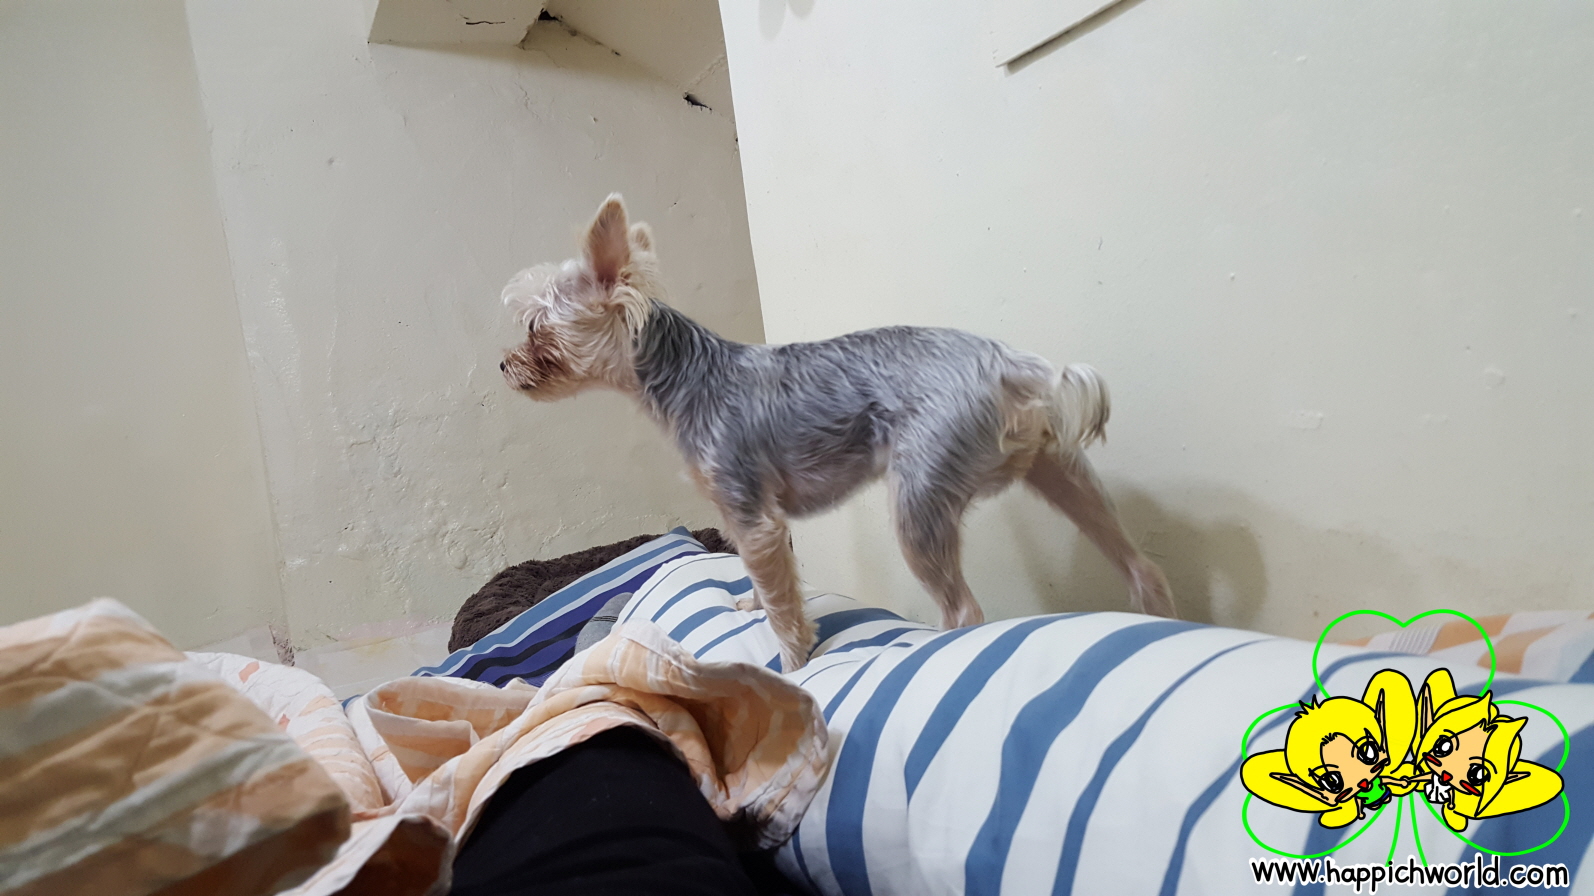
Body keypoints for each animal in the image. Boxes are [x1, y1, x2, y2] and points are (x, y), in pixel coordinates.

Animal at [500, 194, 1175, 670]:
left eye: (536, 330)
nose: (505, 366)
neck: (683, 377)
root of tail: (1013, 367)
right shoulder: (752, 515)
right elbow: (770, 581)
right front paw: (748, 602)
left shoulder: (750, 511)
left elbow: (783, 608)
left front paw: (792, 664)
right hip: (1061, 468)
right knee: (1140, 564)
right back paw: (1168, 619)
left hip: (919, 494)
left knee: (963, 608)